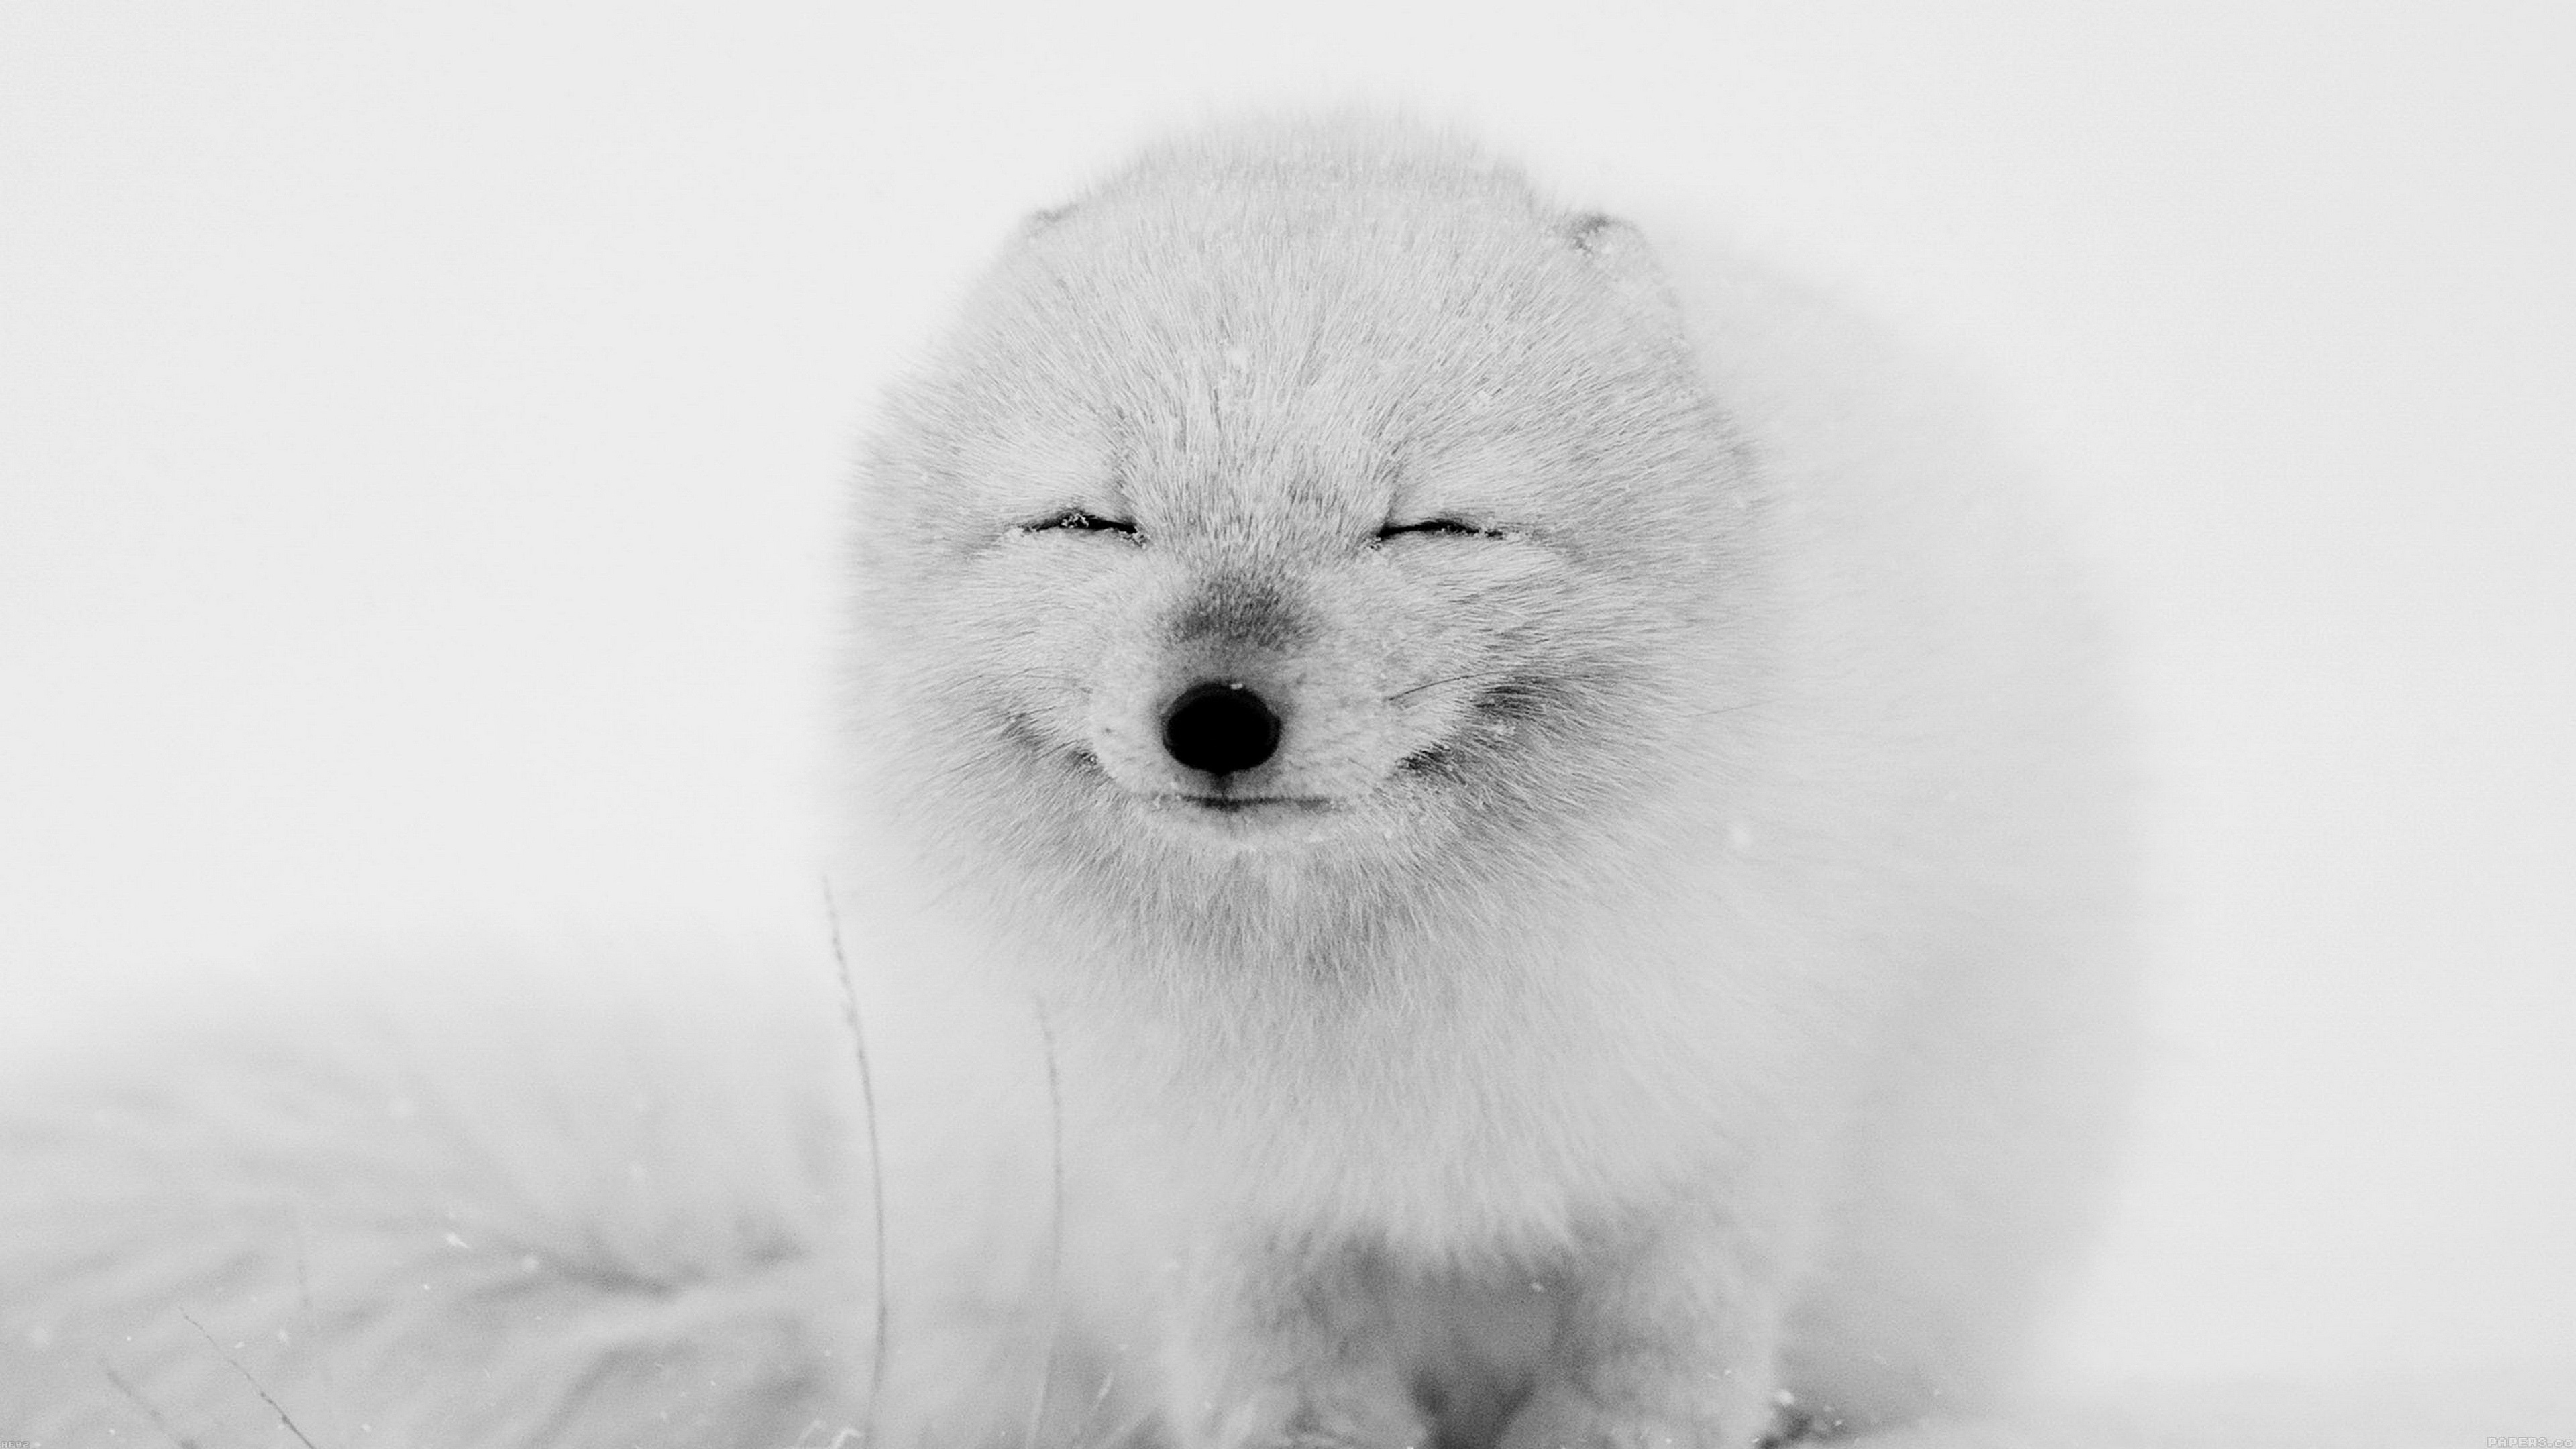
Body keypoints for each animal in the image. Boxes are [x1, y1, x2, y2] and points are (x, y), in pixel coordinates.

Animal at [0, 119, 2132, 1449]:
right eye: (1092, 522)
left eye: (1431, 525)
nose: (1218, 715)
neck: (1374, 1028)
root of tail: (849, 1268)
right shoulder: (1217, 1213)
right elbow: (1286, 1400)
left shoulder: (1720, 1152)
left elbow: (1652, 1382)